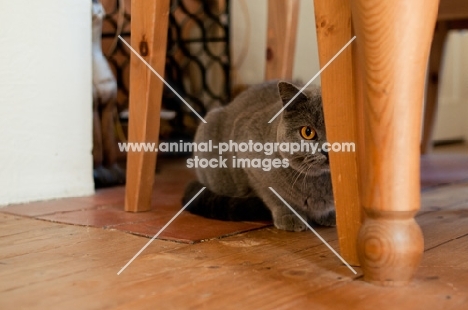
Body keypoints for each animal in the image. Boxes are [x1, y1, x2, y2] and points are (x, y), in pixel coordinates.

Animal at [181, 81, 334, 231]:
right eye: (308, 132)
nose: (326, 150)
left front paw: (330, 215)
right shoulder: (250, 164)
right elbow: (274, 196)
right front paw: (290, 217)